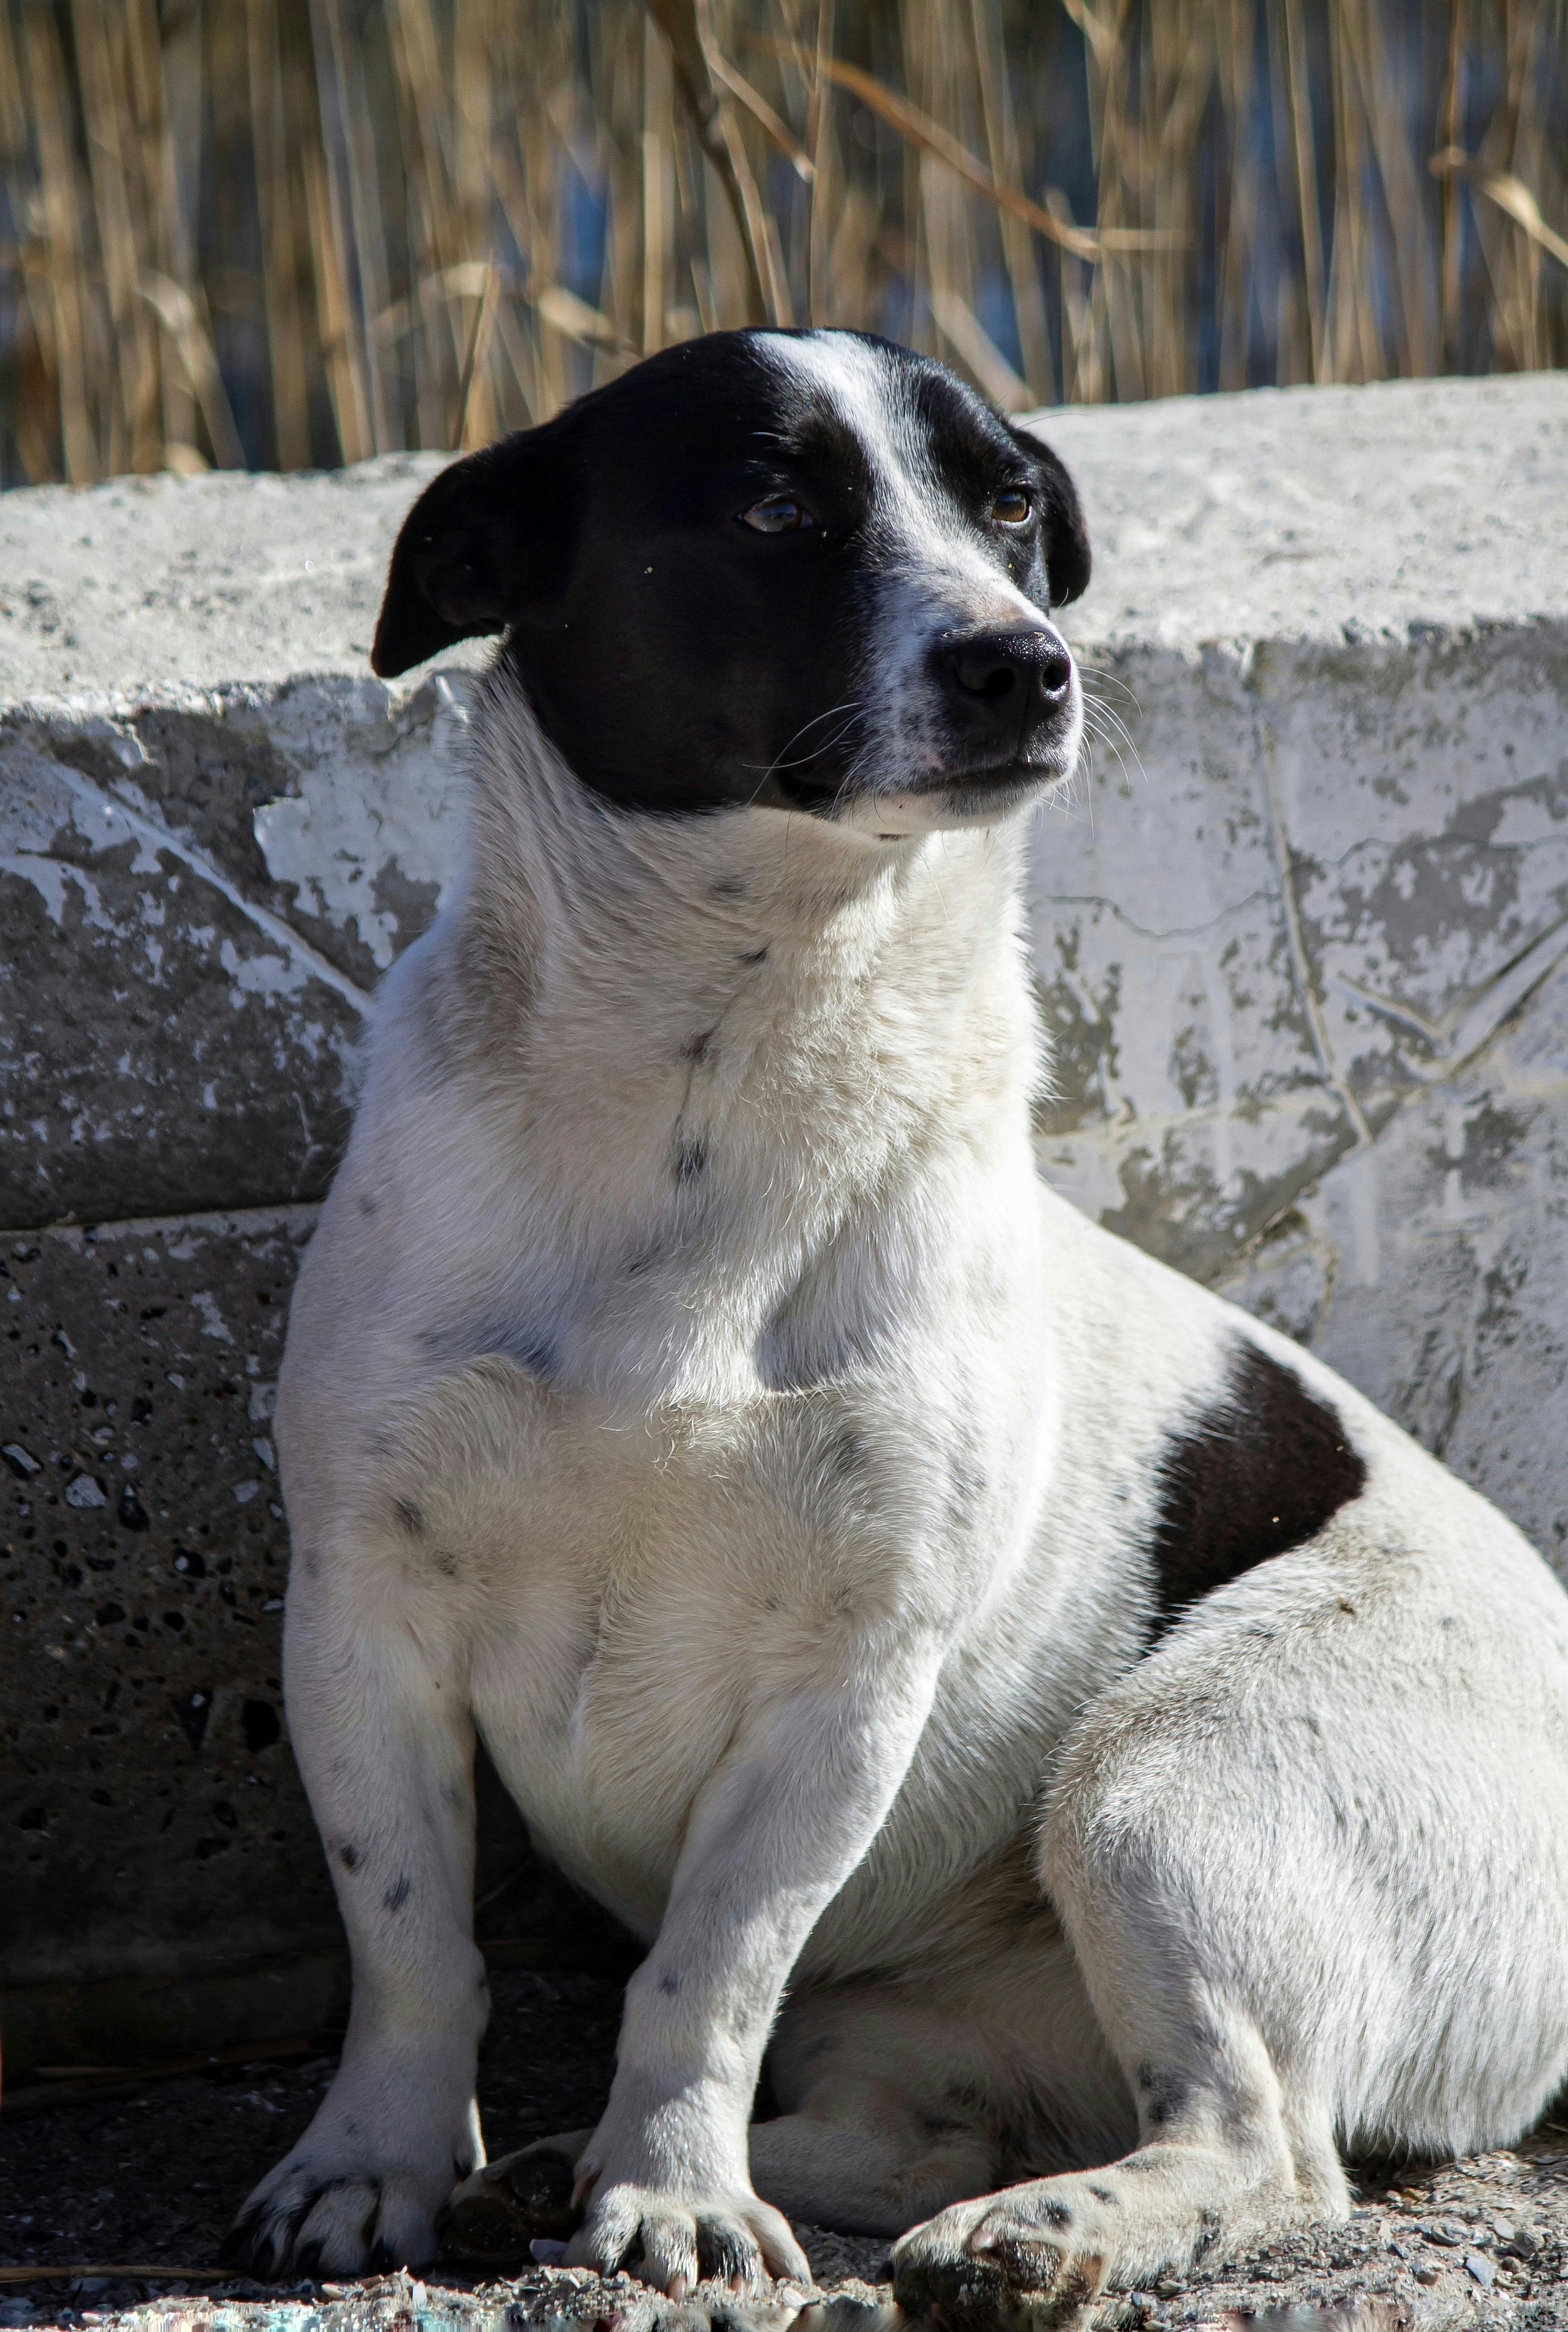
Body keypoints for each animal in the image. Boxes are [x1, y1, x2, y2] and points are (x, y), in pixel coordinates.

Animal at [226, 329, 1568, 2313]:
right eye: (774, 504)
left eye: (1008, 504)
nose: (1024, 659)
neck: (733, 1056)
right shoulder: (362, 1612)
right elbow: (407, 1941)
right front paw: (380, 2165)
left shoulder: (843, 1686)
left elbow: (706, 1967)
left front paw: (671, 2200)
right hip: (931, 1999)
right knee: (913, 2131)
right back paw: (556, 2168)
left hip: (1159, 1783)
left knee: (1262, 2146)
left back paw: (1037, 2232)